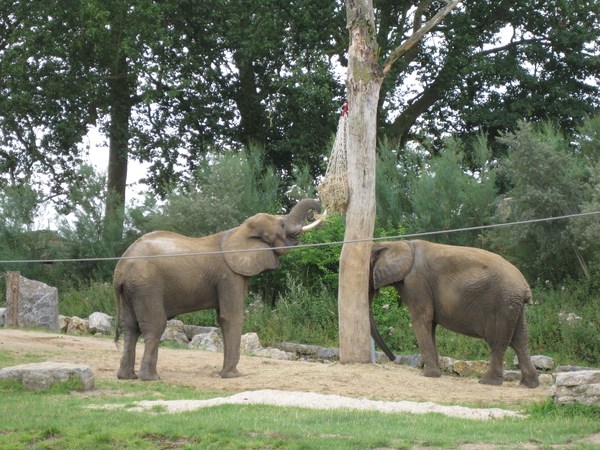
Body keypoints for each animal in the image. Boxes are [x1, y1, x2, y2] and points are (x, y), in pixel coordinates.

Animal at [110, 200, 322, 380]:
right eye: (282, 225)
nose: (314, 214)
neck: (240, 231)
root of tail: (120, 269)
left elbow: (221, 319)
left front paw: (226, 373)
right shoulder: (230, 276)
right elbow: (231, 317)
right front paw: (232, 375)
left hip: (131, 290)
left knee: (131, 328)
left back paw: (126, 376)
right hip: (147, 286)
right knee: (155, 326)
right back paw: (151, 378)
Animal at [368, 241, 540, 388]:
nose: (394, 359)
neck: (397, 243)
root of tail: (524, 286)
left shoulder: (416, 281)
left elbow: (422, 319)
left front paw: (427, 375)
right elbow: (430, 324)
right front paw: (433, 373)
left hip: (502, 303)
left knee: (498, 339)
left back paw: (487, 382)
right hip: (513, 305)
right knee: (520, 339)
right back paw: (529, 384)